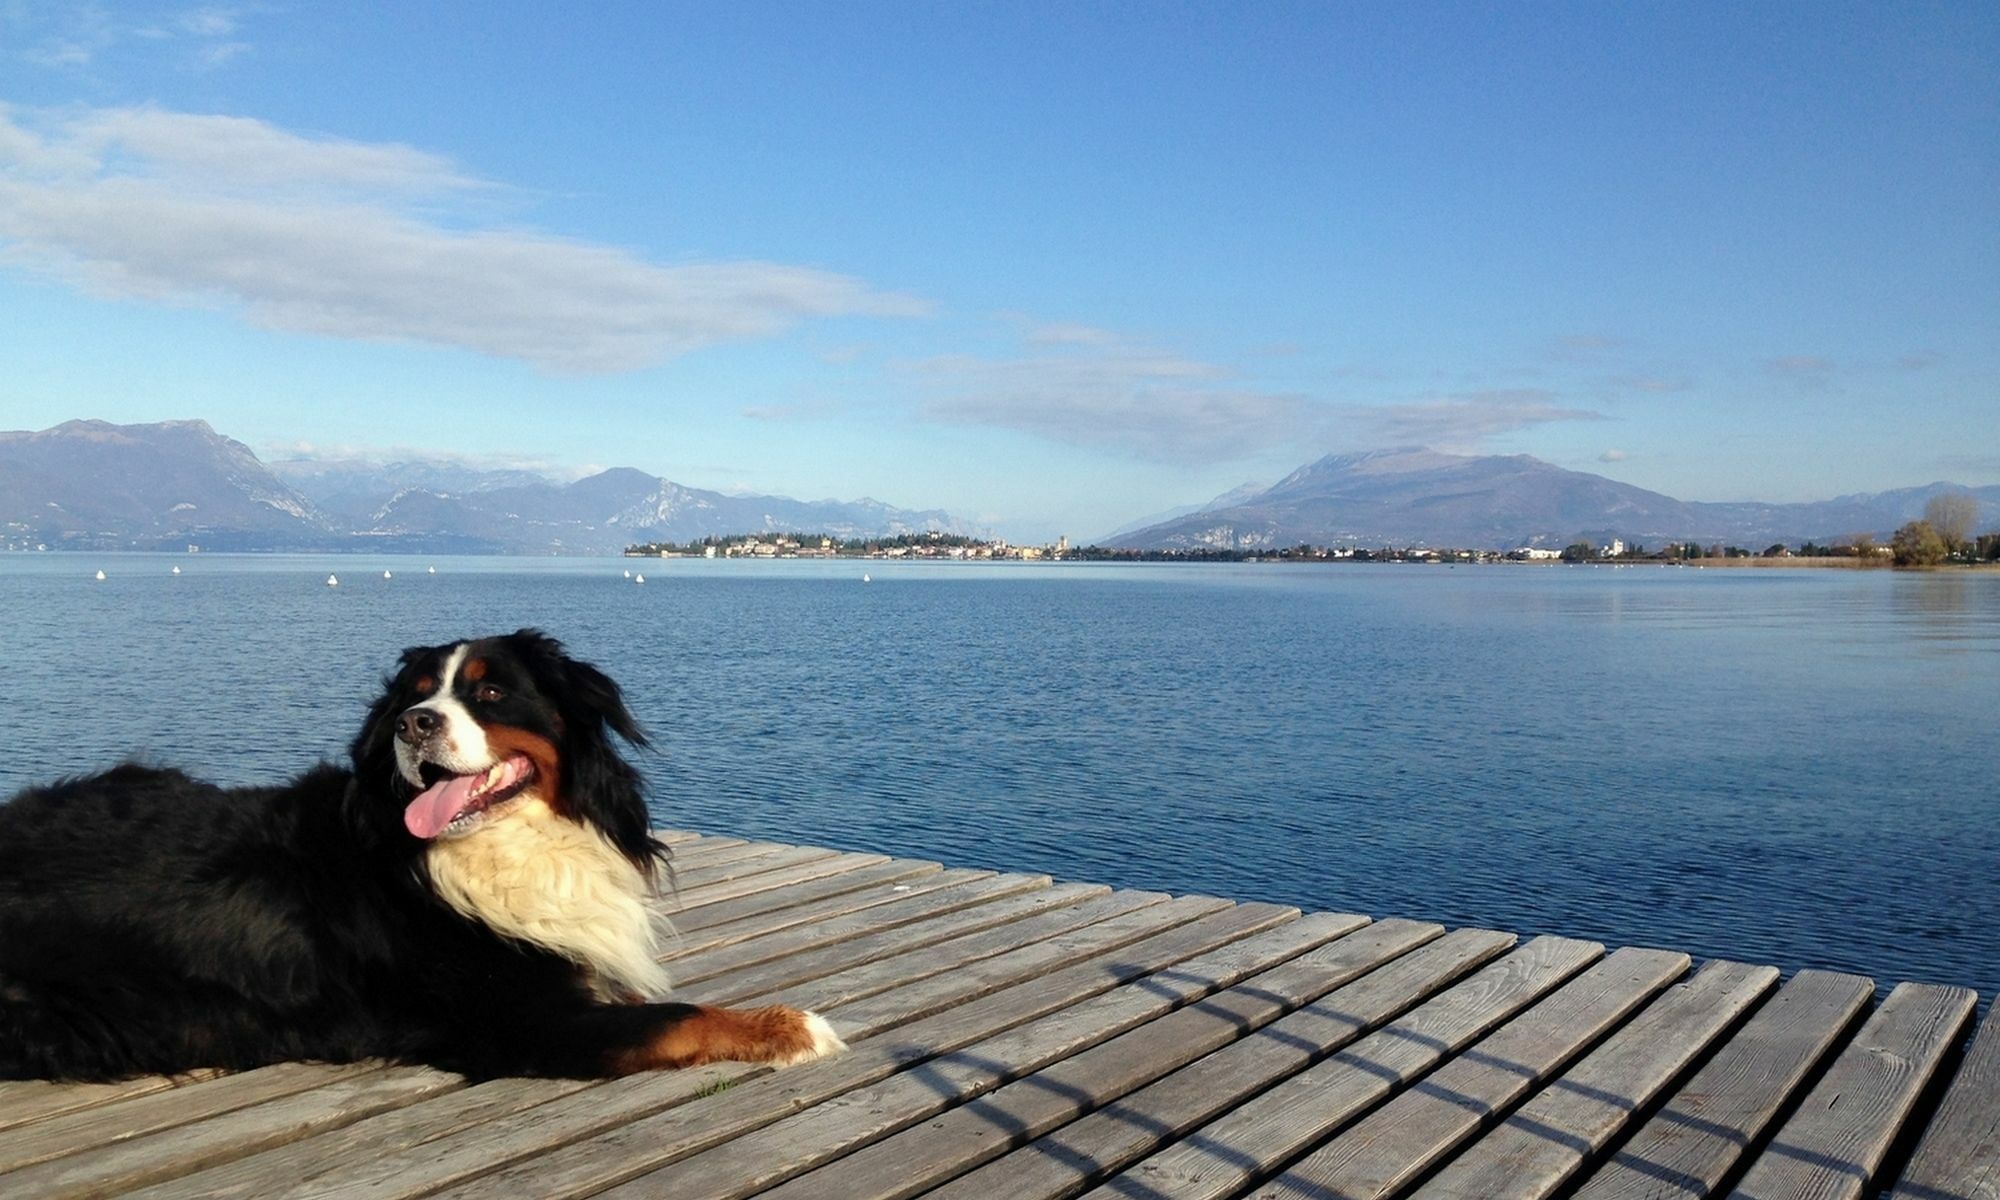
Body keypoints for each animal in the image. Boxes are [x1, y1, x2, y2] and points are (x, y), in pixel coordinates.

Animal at [0, 632, 840, 1080]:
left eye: (492, 692)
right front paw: (793, 1027)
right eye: (415, 693)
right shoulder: (527, 1023)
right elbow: (679, 1016)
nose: (413, 725)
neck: (493, 849)